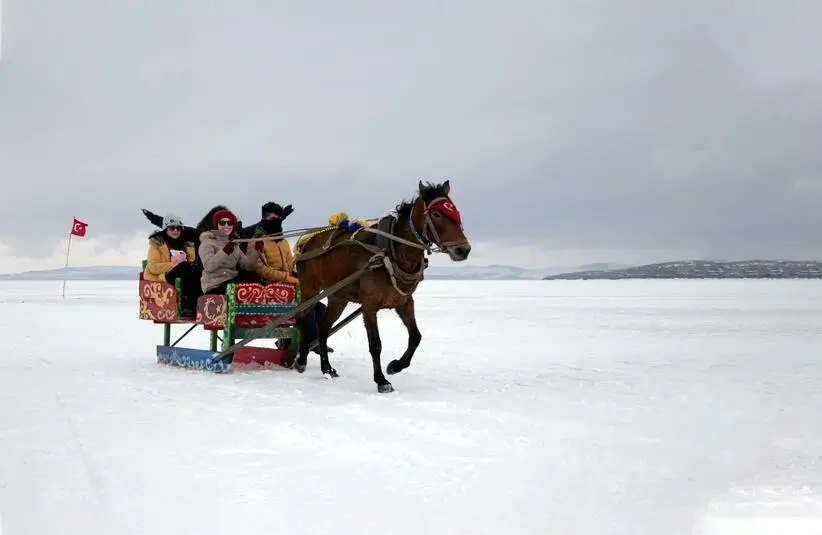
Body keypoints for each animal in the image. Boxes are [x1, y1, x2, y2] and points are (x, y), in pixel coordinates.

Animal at [290, 180, 471, 393]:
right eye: (436, 214)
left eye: (455, 211)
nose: (463, 249)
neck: (390, 254)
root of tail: (305, 241)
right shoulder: (369, 305)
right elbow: (375, 344)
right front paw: (381, 380)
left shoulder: (404, 301)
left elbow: (416, 337)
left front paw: (395, 366)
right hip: (310, 289)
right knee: (301, 317)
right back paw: (301, 360)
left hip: (337, 297)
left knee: (323, 328)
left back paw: (327, 369)